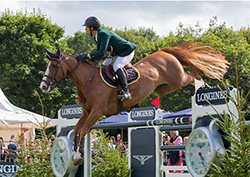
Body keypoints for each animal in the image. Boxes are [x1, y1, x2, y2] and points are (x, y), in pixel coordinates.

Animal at [40, 41, 229, 165]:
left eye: (54, 65)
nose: (43, 86)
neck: (89, 80)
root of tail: (164, 52)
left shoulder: (97, 111)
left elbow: (84, 130)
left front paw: (78, 155)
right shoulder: (87, 112)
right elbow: (77, 130)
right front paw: (75, 155)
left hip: (178, 79)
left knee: (194, 74)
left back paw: (204, 88)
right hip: (166, 88)